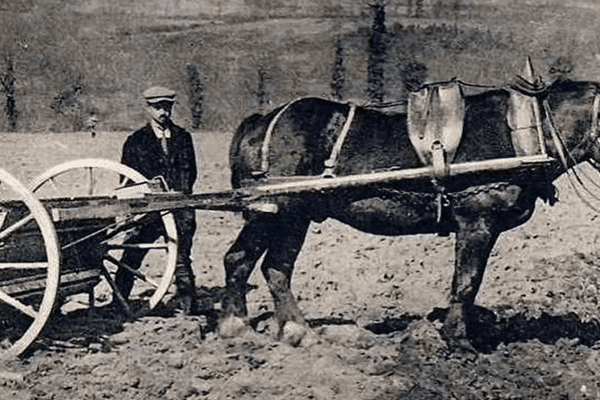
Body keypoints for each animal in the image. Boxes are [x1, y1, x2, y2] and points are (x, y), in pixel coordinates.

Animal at [218, 77, 600, 350]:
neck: (524, 134)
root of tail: (262, 121)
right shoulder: (477, 222)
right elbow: (466, 282)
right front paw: (459, 341)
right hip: (271, 211)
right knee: (239, 259)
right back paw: (235, 327)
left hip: (295, 216)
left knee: (276, 268)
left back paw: (298, 332)